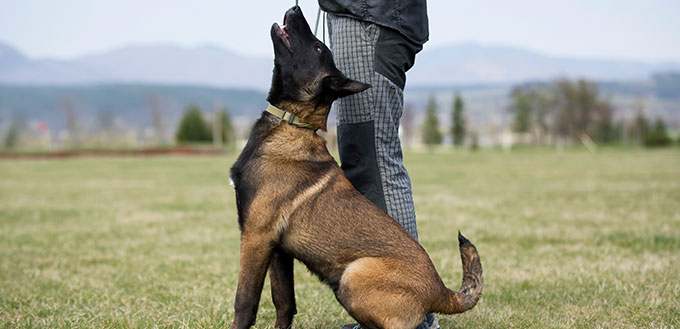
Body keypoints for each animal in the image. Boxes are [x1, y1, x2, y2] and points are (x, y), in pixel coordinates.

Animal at [230, 5, 484, 328]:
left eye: (317, 46)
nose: (296, 8)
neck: (292, 122)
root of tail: (440, 291)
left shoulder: (256, 237)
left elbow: (245, 301)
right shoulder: (278, 249)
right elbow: (284, 302)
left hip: (352, 277)